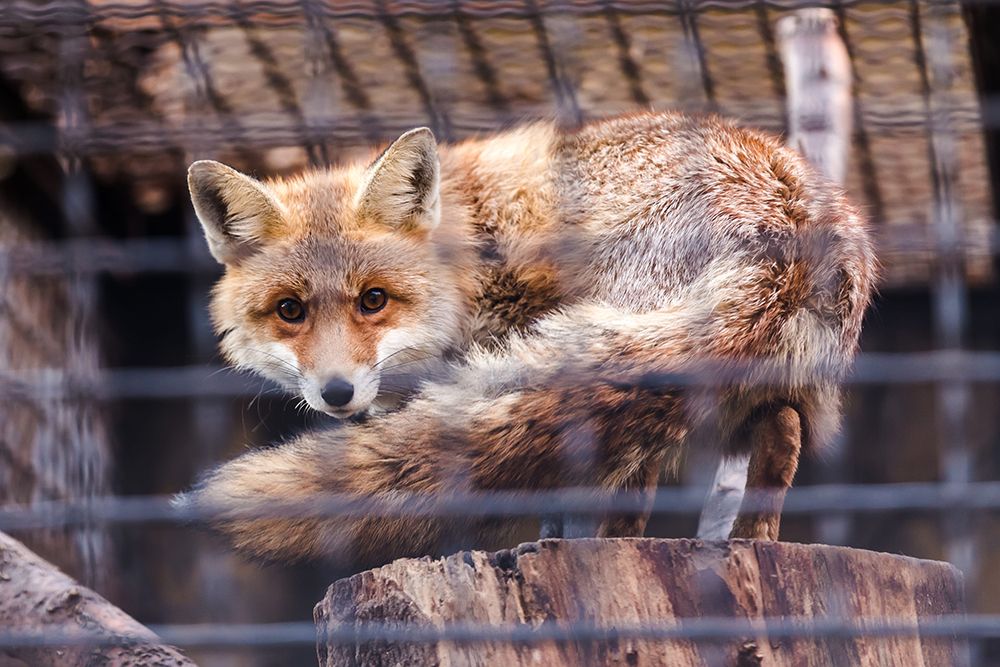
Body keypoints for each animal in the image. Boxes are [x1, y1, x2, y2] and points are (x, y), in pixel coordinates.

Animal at [178, 111, 876, 564]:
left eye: (373, 300)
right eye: (290, 311)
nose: (337, 393)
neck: (468, 250)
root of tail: (786, 213)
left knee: (643, 465)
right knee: (781, 427)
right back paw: (752, 539)